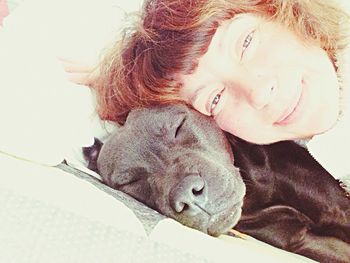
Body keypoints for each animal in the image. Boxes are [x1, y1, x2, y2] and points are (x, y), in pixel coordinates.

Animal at [85, 104, 350, 262]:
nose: (187, 195)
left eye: (178, 127)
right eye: (131, 181)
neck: (254, 198)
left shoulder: (339, 209)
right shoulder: (304, 240)